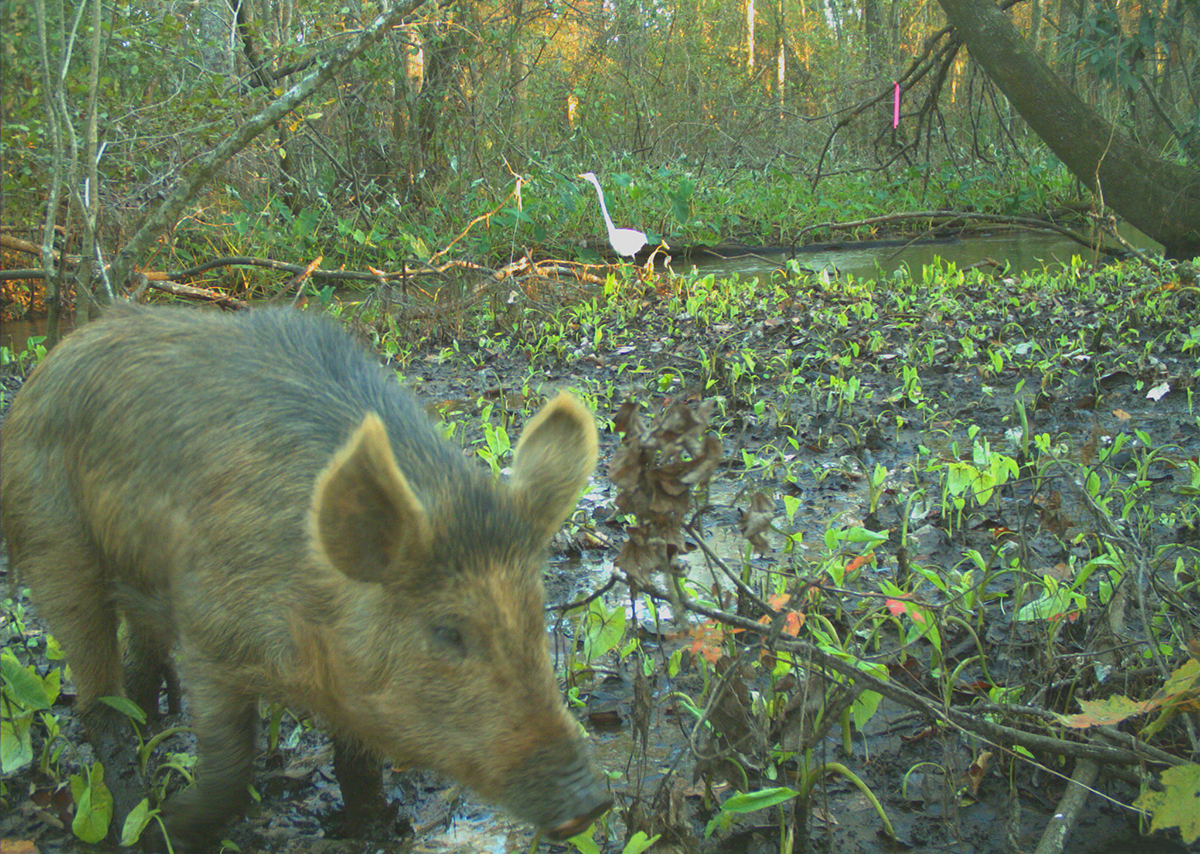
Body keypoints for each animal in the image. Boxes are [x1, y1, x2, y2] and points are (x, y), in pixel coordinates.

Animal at [0, 305, 610, 852]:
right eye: (448, 631)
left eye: (536, 613)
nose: (592, 800)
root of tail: (45, 367)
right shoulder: (208, 631)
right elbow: (230, 763)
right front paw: (166, 829)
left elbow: (358, 762)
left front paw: (374, 827)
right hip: (52, 539)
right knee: (95, 698)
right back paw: (129, 810)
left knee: (138, 662)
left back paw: (153, 721)